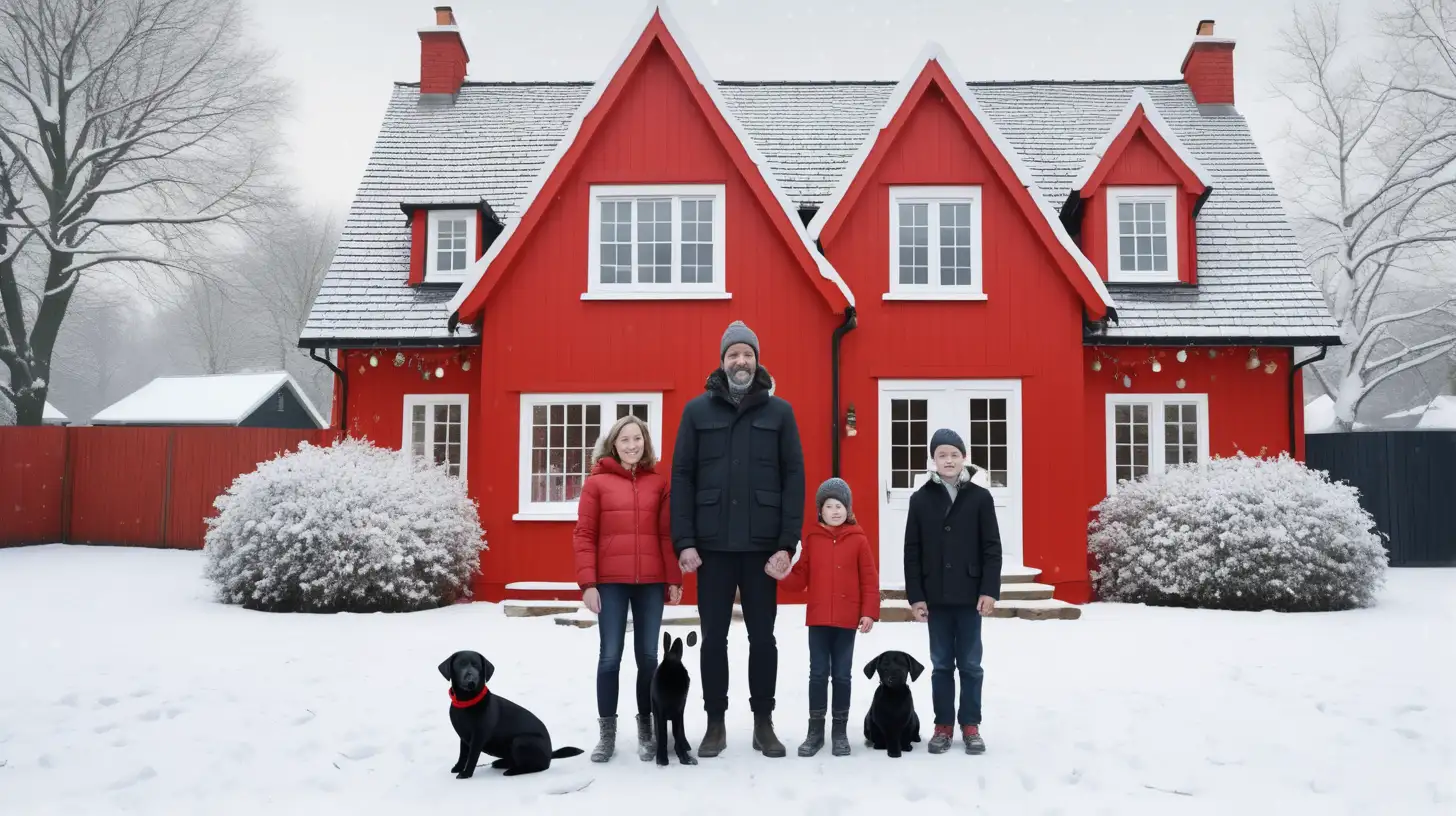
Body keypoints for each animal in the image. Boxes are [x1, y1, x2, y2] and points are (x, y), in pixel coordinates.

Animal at [436, 649, 585, 775]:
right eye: (460, 665)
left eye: (477, 665)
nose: (471, 679)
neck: (467, 702)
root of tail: (550, 754)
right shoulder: (464, 737)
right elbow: (463, 755)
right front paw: (458, 768)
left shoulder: (478, 736)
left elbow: (472, 756)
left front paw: (466, 774)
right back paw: (501, 763)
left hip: (520, 741)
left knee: (537, 767)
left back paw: (513, 771)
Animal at [649, 632, 698, 763]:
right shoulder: (660, 711)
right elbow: (662, 733)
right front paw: (661, 758)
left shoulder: (678, 711)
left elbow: (678, 733)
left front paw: (684, 757)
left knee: (680, 731)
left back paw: (685, 746)